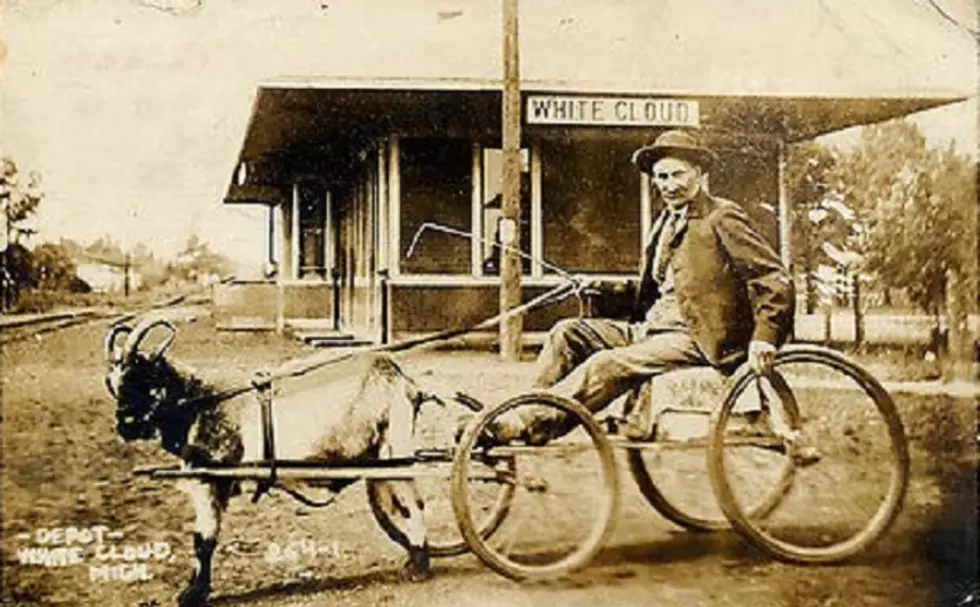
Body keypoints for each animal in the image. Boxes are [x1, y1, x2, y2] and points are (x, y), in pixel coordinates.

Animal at [103, 318, 436, 607]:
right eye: (115, 382)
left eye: (143, 377)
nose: (126, 425)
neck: (201, 402)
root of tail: (404, 381)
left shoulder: (211, 481)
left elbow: (203, 540)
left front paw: (194, 593)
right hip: (379, 458)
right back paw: (413, 558)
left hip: (396, 449)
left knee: (414, 504)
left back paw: (420, 565)